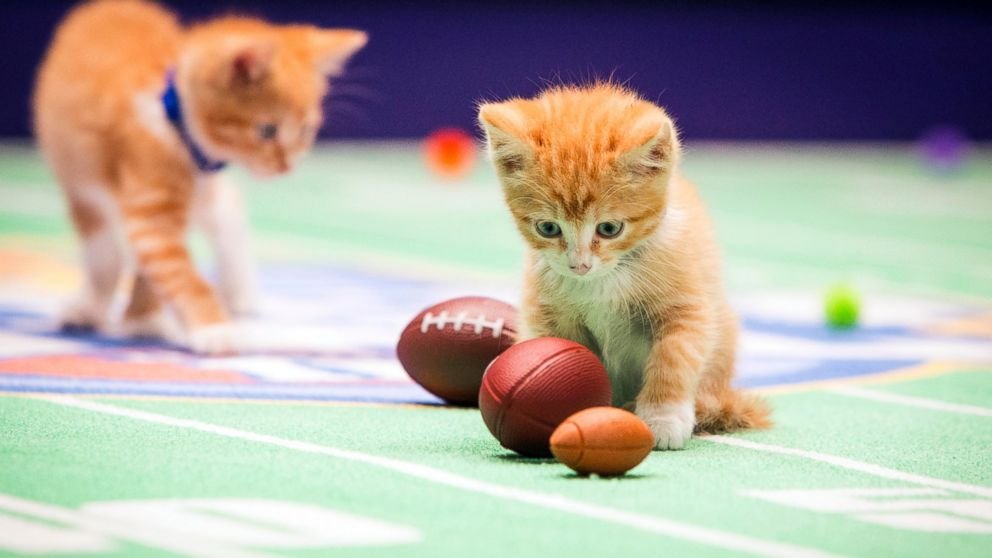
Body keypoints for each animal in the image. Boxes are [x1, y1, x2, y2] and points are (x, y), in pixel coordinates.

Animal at [35, 1, 370, 354]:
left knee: (228, 205)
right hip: (80, 186)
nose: (286, 167)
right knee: (104, 253)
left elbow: (154, 265)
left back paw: (239, 291)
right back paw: (89, 307)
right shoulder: (148, 204)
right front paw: (213, 328)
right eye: (267, 131)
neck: (173, 119)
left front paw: (144, 320)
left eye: (306, 131)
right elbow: (172, 270)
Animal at [476, 83, 772, 450]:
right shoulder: (544, 311)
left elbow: (674, 358)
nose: (579, 265)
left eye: (609, 228)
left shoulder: (687, 308)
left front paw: (663, 417)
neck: (604, 279)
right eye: (547, 228)